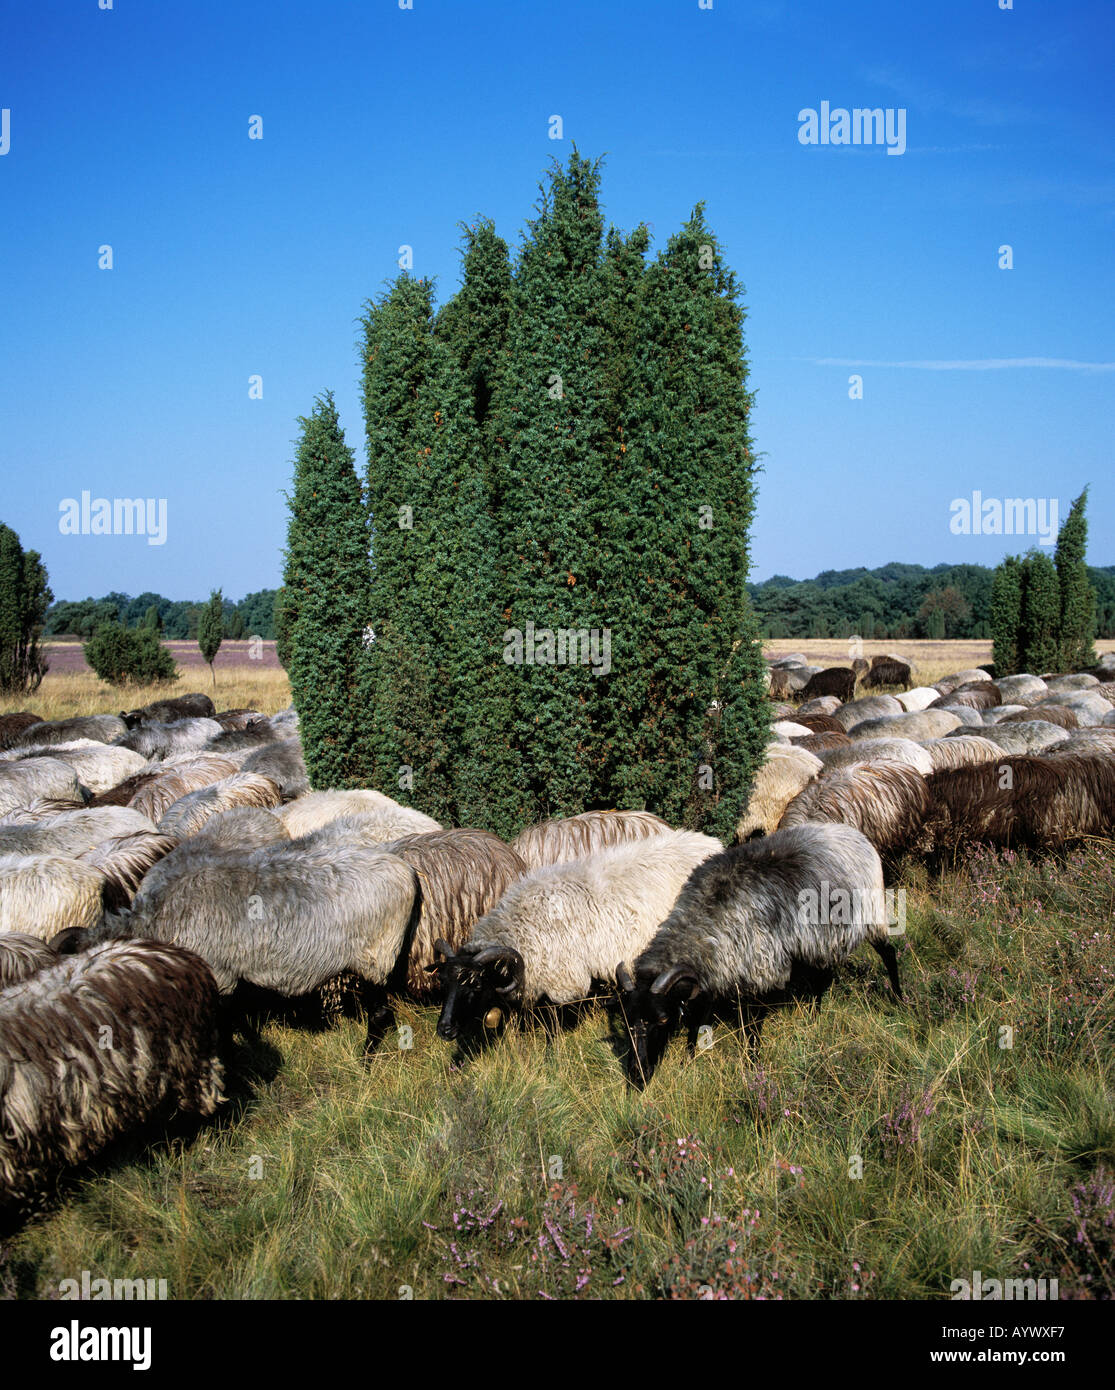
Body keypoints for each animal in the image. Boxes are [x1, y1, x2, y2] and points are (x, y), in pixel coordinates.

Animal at [430, 828, 717, 1039]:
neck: (522, 925)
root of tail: (711, 844)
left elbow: (553, 1028)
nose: (444, 1030)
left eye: (476, 985)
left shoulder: (562, 981)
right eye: (444, 982)